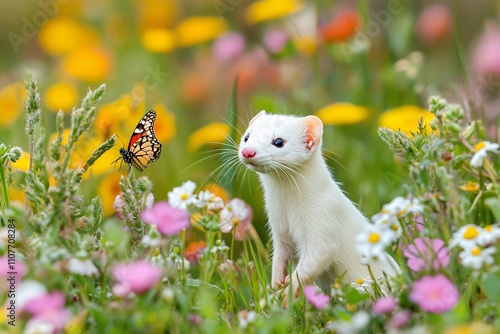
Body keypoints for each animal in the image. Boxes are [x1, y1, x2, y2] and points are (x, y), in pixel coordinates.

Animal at [238, 111, 398, 294]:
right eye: (247, 136)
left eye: (278, 141)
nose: (248, 152)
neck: (288, 206)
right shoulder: (278, 226)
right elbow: (280, 254)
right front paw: (276, 282)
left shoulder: (324, 220)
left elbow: (317, 259)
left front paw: (288, 289)